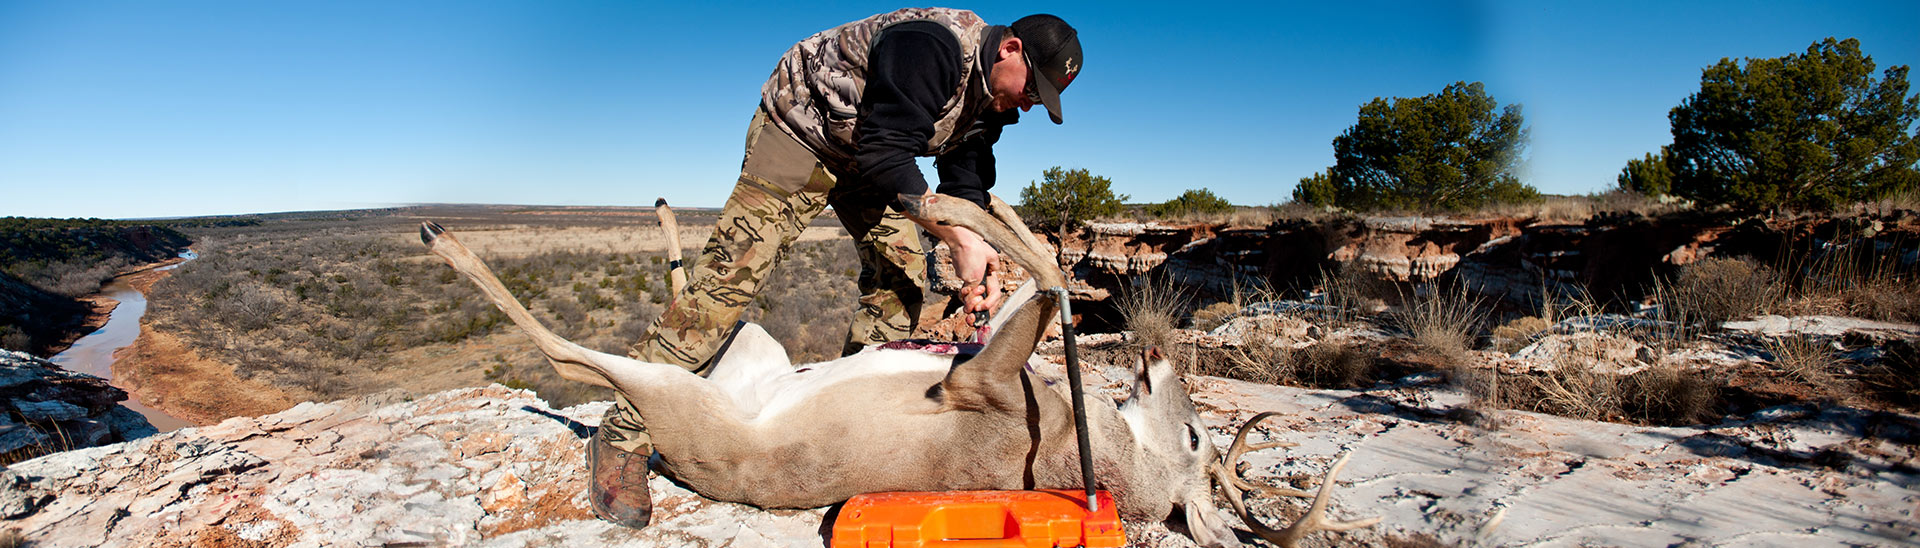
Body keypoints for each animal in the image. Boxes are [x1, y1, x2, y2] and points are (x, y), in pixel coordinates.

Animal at [420, 193, 1382, 546]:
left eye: (1192, 437)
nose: (1153, 353)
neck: (1088, 447)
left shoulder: (973, 383)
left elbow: (1043, 268)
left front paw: (947, 202)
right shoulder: (977, 370)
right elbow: (1035, 265)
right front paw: (962, 210)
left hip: (685, 393)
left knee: (571, 353)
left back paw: (443, 235)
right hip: (755, 351)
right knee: (703, 291)